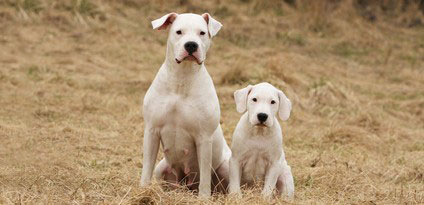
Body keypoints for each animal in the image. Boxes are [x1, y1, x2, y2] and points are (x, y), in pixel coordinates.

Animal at [141, 12, 230, 197]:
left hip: (226, 166)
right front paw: (143, 192)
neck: (181, 79)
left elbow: (205, 177)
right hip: (162, 168)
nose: (191, 45)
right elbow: (146, 169)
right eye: (179, 32)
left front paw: (204, 198)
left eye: (202, 33)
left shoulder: (204, 138)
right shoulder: (152, 131)